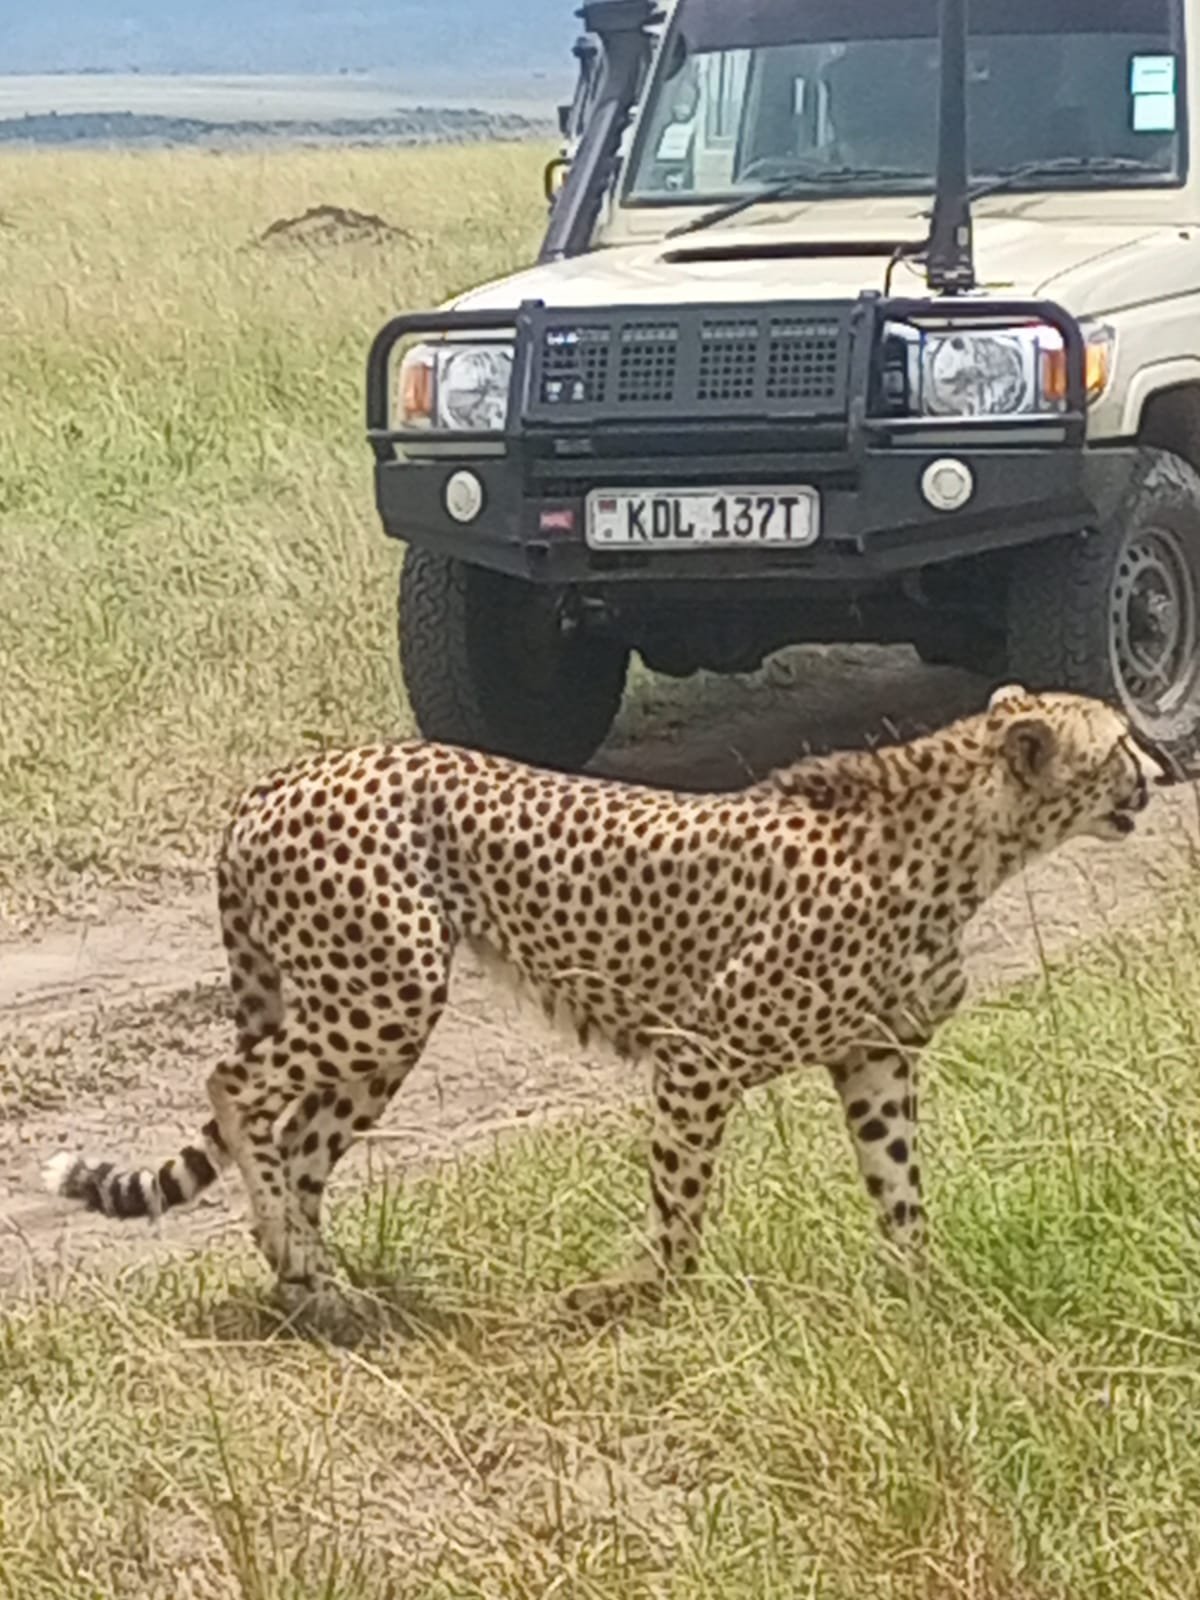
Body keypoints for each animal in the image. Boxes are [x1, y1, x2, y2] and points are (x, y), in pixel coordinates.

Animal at [44, 684, 1184, 1324]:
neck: (964, 845)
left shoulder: (874, 1060)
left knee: (299, 1140)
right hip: (387, 989)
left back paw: (321, 1293)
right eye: (1120, 740)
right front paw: (623, 1299)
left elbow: (903, 1197)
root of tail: (274, 781)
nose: (1165, 765)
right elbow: (681, 1211)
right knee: (233, 1082)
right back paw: (290, 1257)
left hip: (374, 1019)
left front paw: (927, 1300)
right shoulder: (699, 1052)